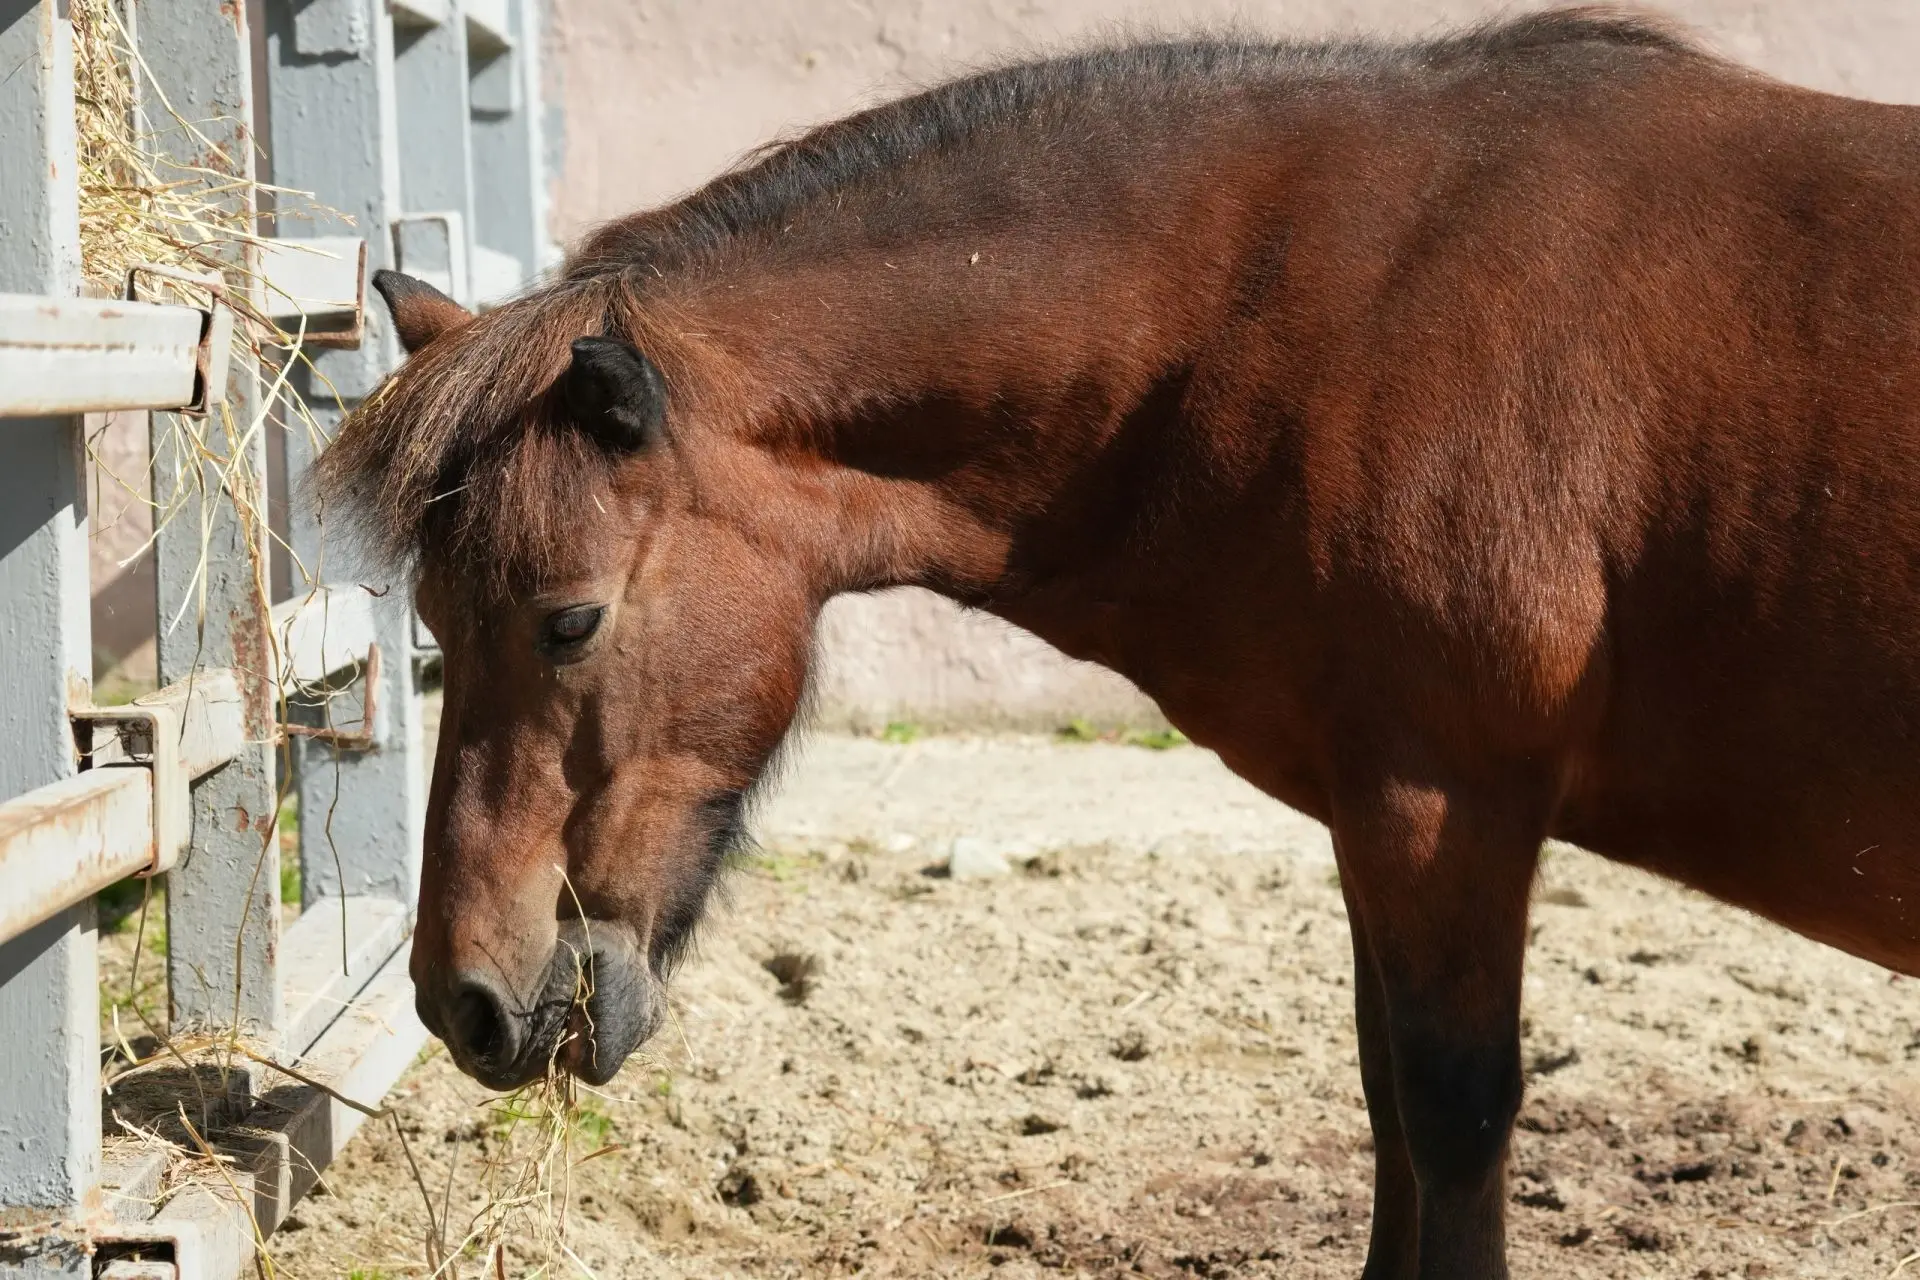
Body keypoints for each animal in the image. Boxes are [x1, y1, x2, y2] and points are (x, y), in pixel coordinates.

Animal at [315, 8, 1920, 1276]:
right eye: (438, 624)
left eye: (570, 618)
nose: (465, 1000)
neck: (1319, 303)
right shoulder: (1380, 820)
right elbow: (1389, 1107)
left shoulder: (1444, 807)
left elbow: (1452, 1113)